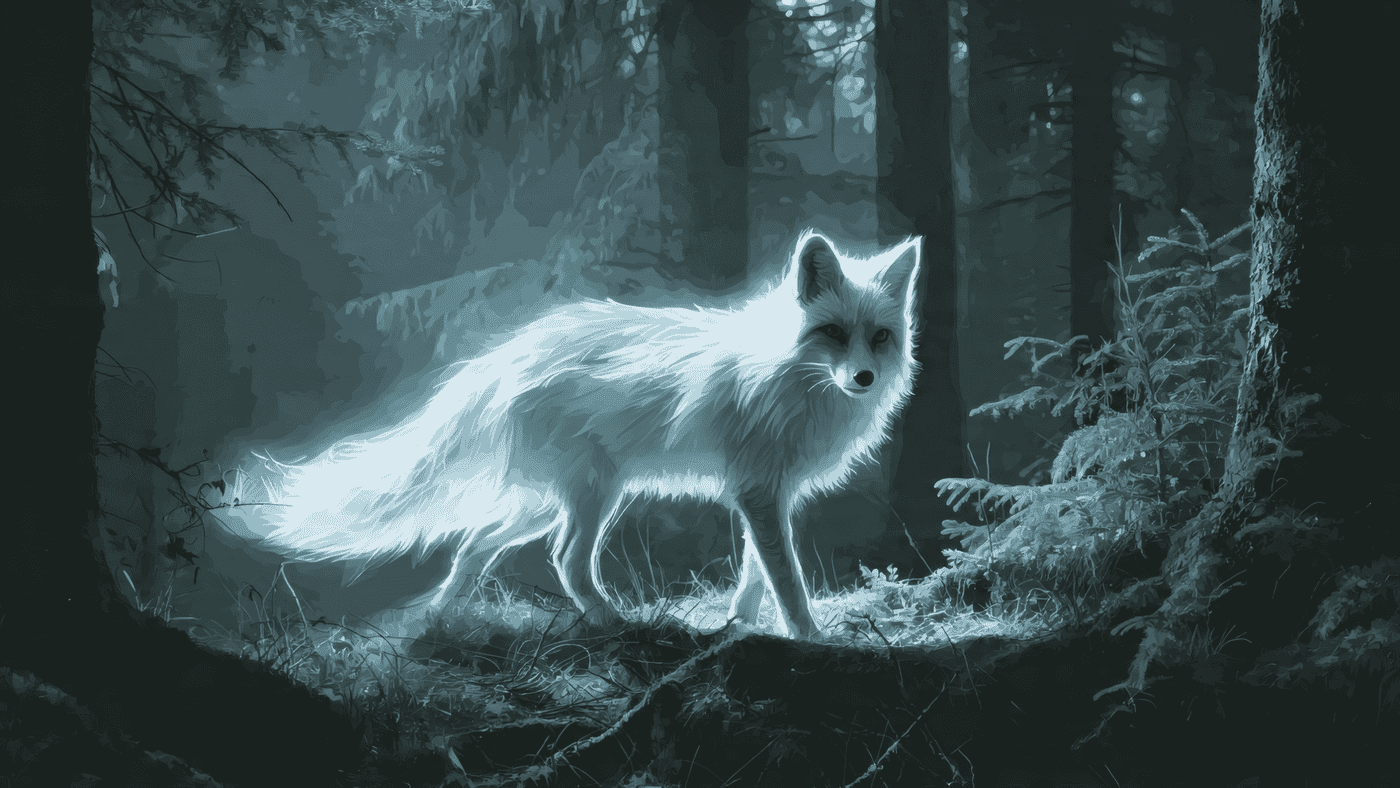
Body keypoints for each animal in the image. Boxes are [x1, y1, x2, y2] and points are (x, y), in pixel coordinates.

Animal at [243, 231, 921, 638]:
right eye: (833, 333)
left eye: (879, 337)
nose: (863, 378)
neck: (789, 374)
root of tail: (514, 350)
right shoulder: (758, 491)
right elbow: (788, 580)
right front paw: (810, 638)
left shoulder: (770, 492)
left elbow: (757, 574)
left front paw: (739, 625)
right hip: (593, 496)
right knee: (566, 562)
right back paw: (616, 623)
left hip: (545, 504)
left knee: (473, 544)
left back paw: (441, 618)